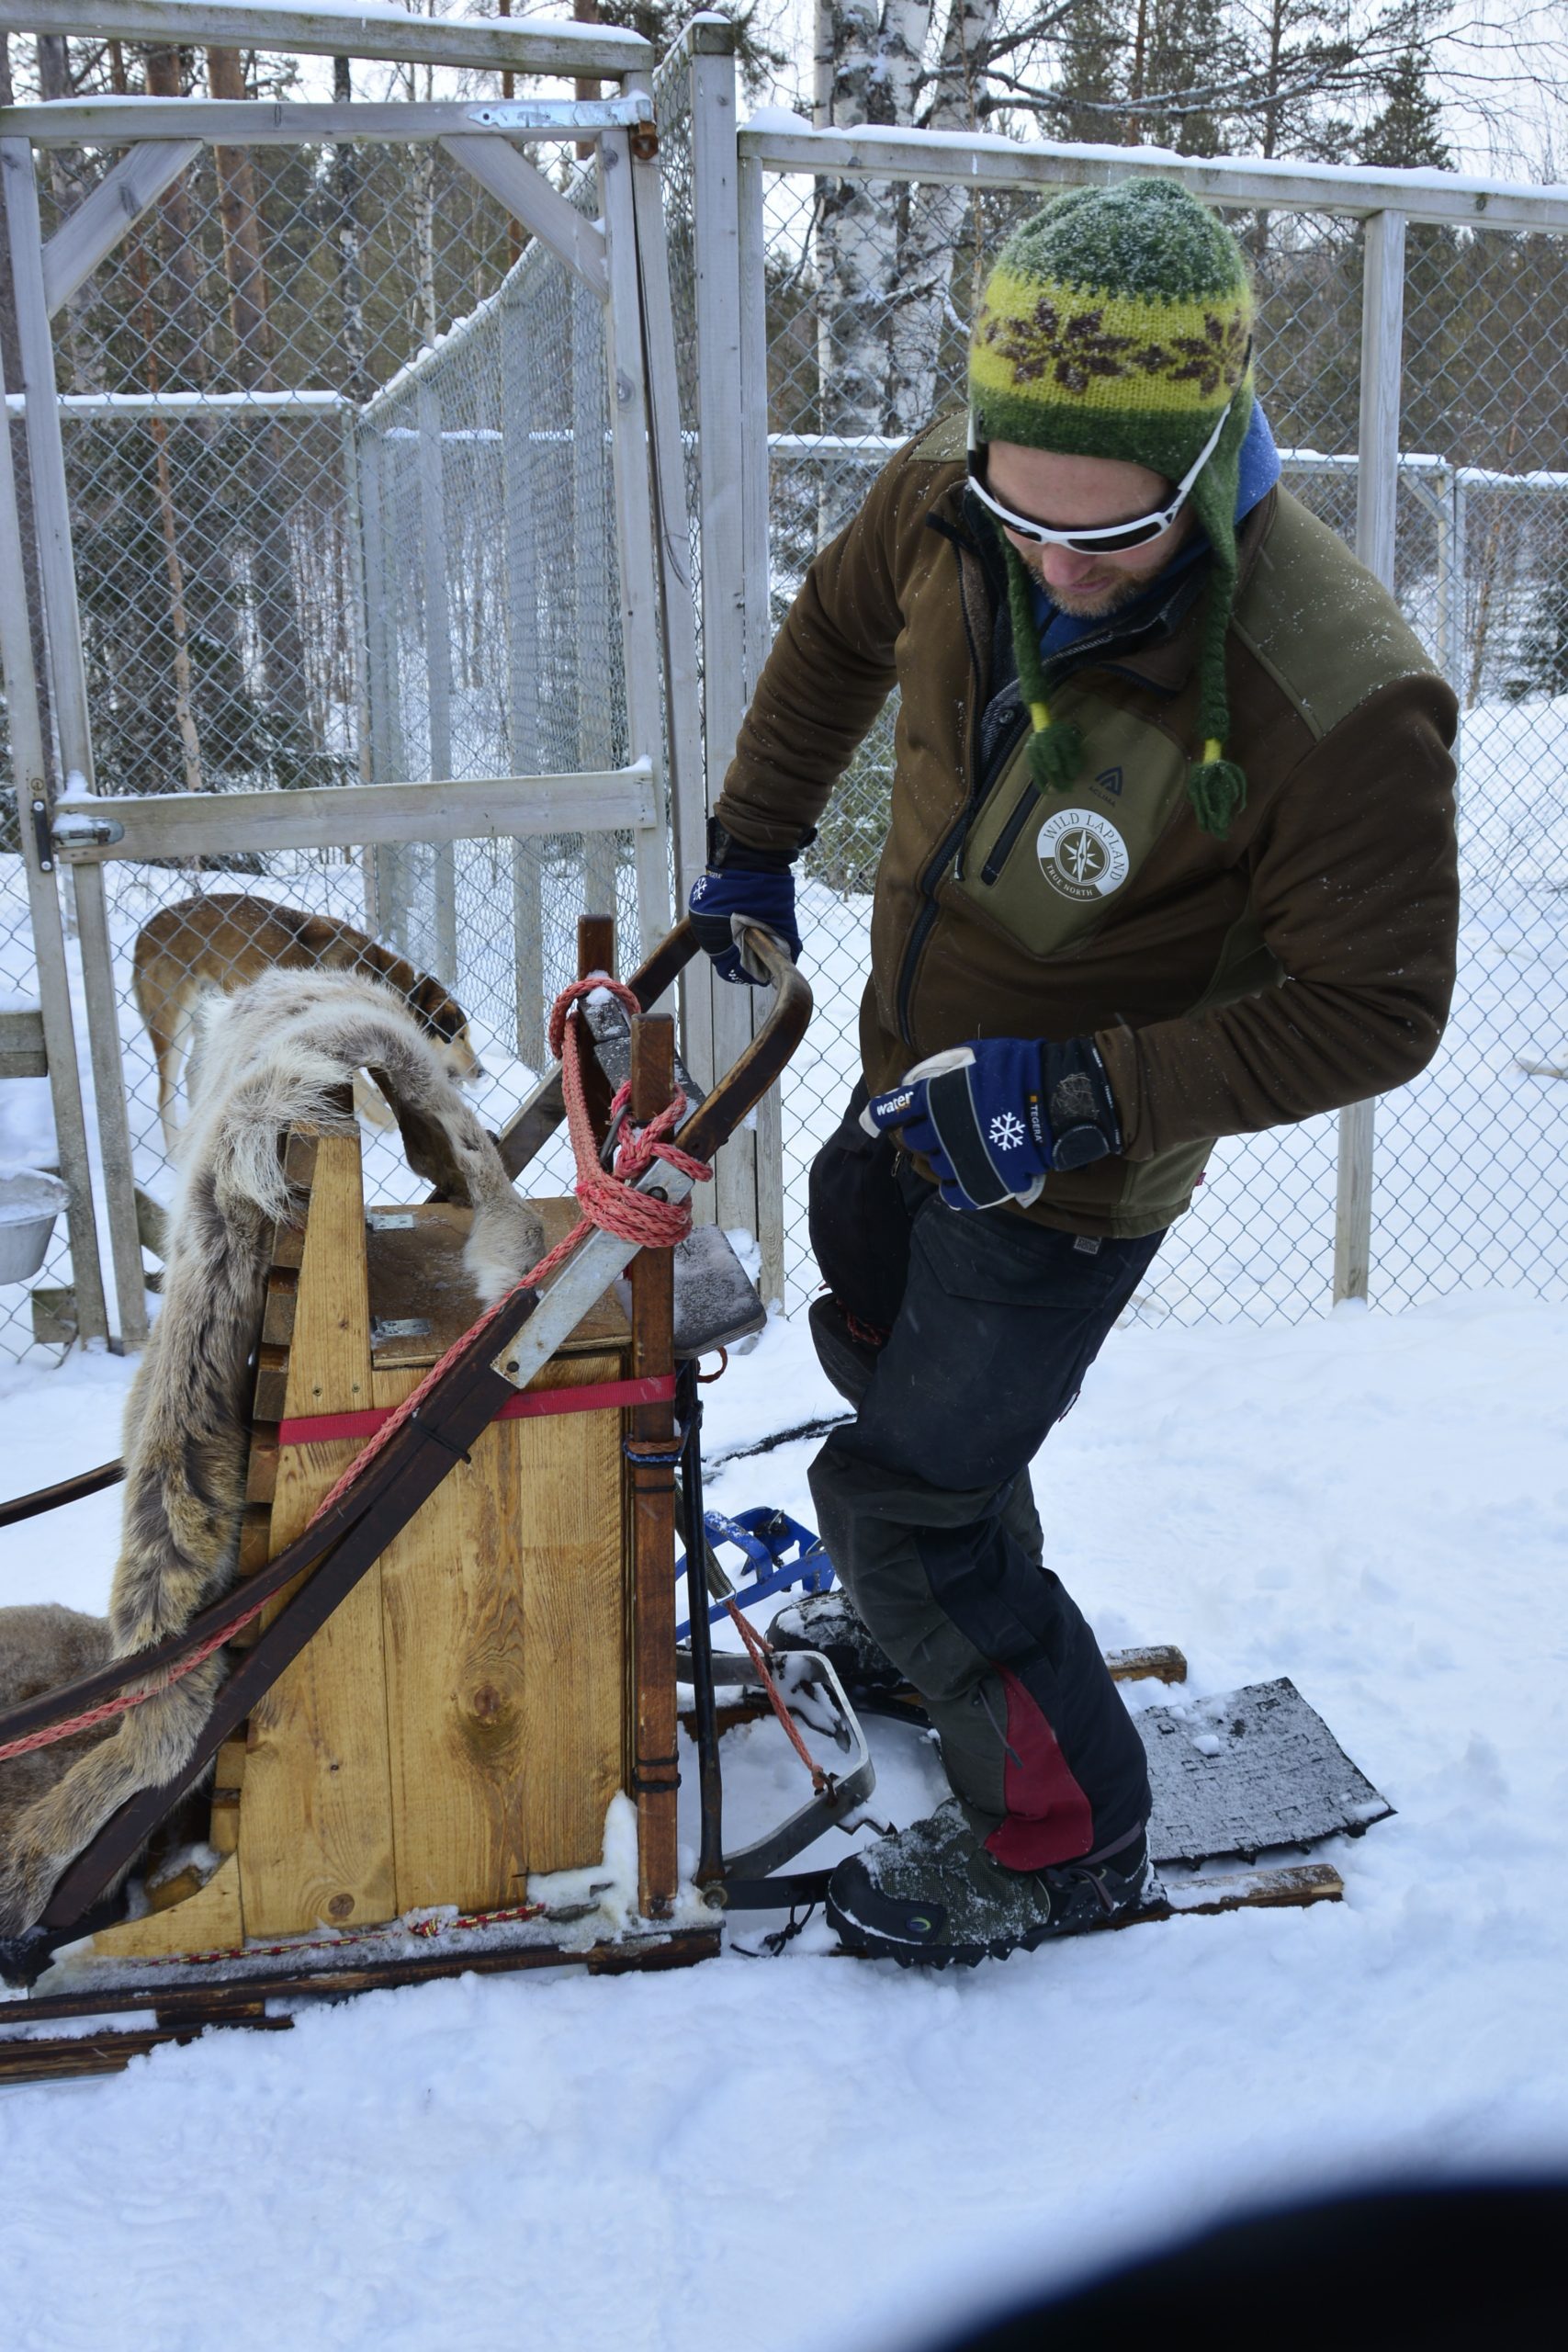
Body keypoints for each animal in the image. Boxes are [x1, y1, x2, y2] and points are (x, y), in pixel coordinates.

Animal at [135, 888, 484, 1148]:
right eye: (459, 1036)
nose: (482, 1072)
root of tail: (145, 931)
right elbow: (375, 1105)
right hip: (172, 1026)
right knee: (164, 1093)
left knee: (194, 1074)